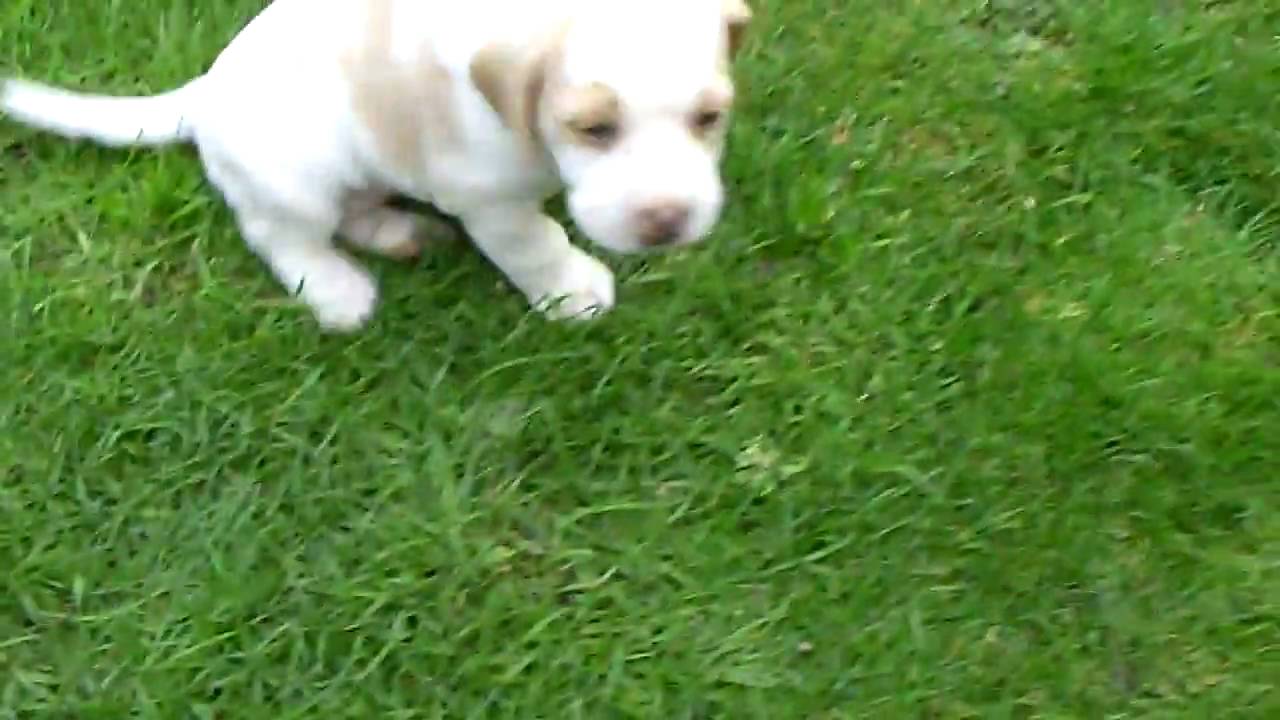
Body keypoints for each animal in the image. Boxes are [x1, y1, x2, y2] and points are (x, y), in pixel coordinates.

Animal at [0, 0, 752, 330]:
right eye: (593, 128)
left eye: (709, 119)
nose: (667, 222)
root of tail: (203, 93)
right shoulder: (487, 197)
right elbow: (536, 243)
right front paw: (573, 292)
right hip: (298, 180)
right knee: (281, 235)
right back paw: (337, 290)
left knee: (356, 212)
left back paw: (402, 233)